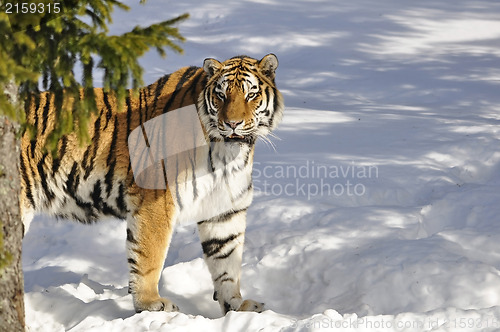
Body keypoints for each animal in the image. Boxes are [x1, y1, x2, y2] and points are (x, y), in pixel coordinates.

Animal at [19, 53, 284, 314]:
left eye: (251, 95)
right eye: (221, 95)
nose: (232, 124)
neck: (227, 154)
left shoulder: (225, 210)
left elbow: (228, 263)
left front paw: (238, 306)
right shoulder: (156, 201)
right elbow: (150, 256)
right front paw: (150, 303)